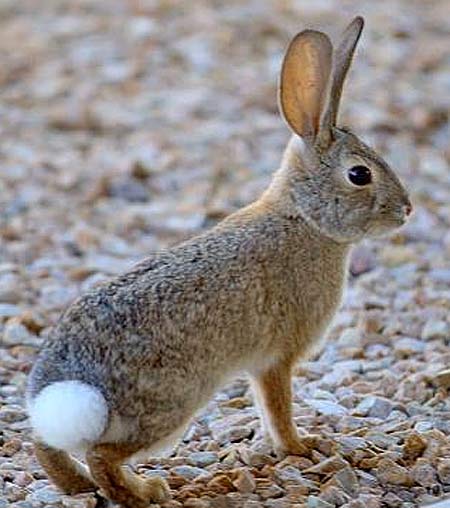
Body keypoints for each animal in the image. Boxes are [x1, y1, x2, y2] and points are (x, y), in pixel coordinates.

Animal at [25, 15, 412, 508]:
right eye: (360, 175)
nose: (407, 209)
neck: (305, 217)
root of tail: (68, 393)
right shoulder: (277, 357)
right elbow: (277, 408)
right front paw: (302, 447)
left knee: (48, 447)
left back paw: (78, 486)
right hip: (173, 403)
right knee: (102, 455)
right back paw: (147, 491)